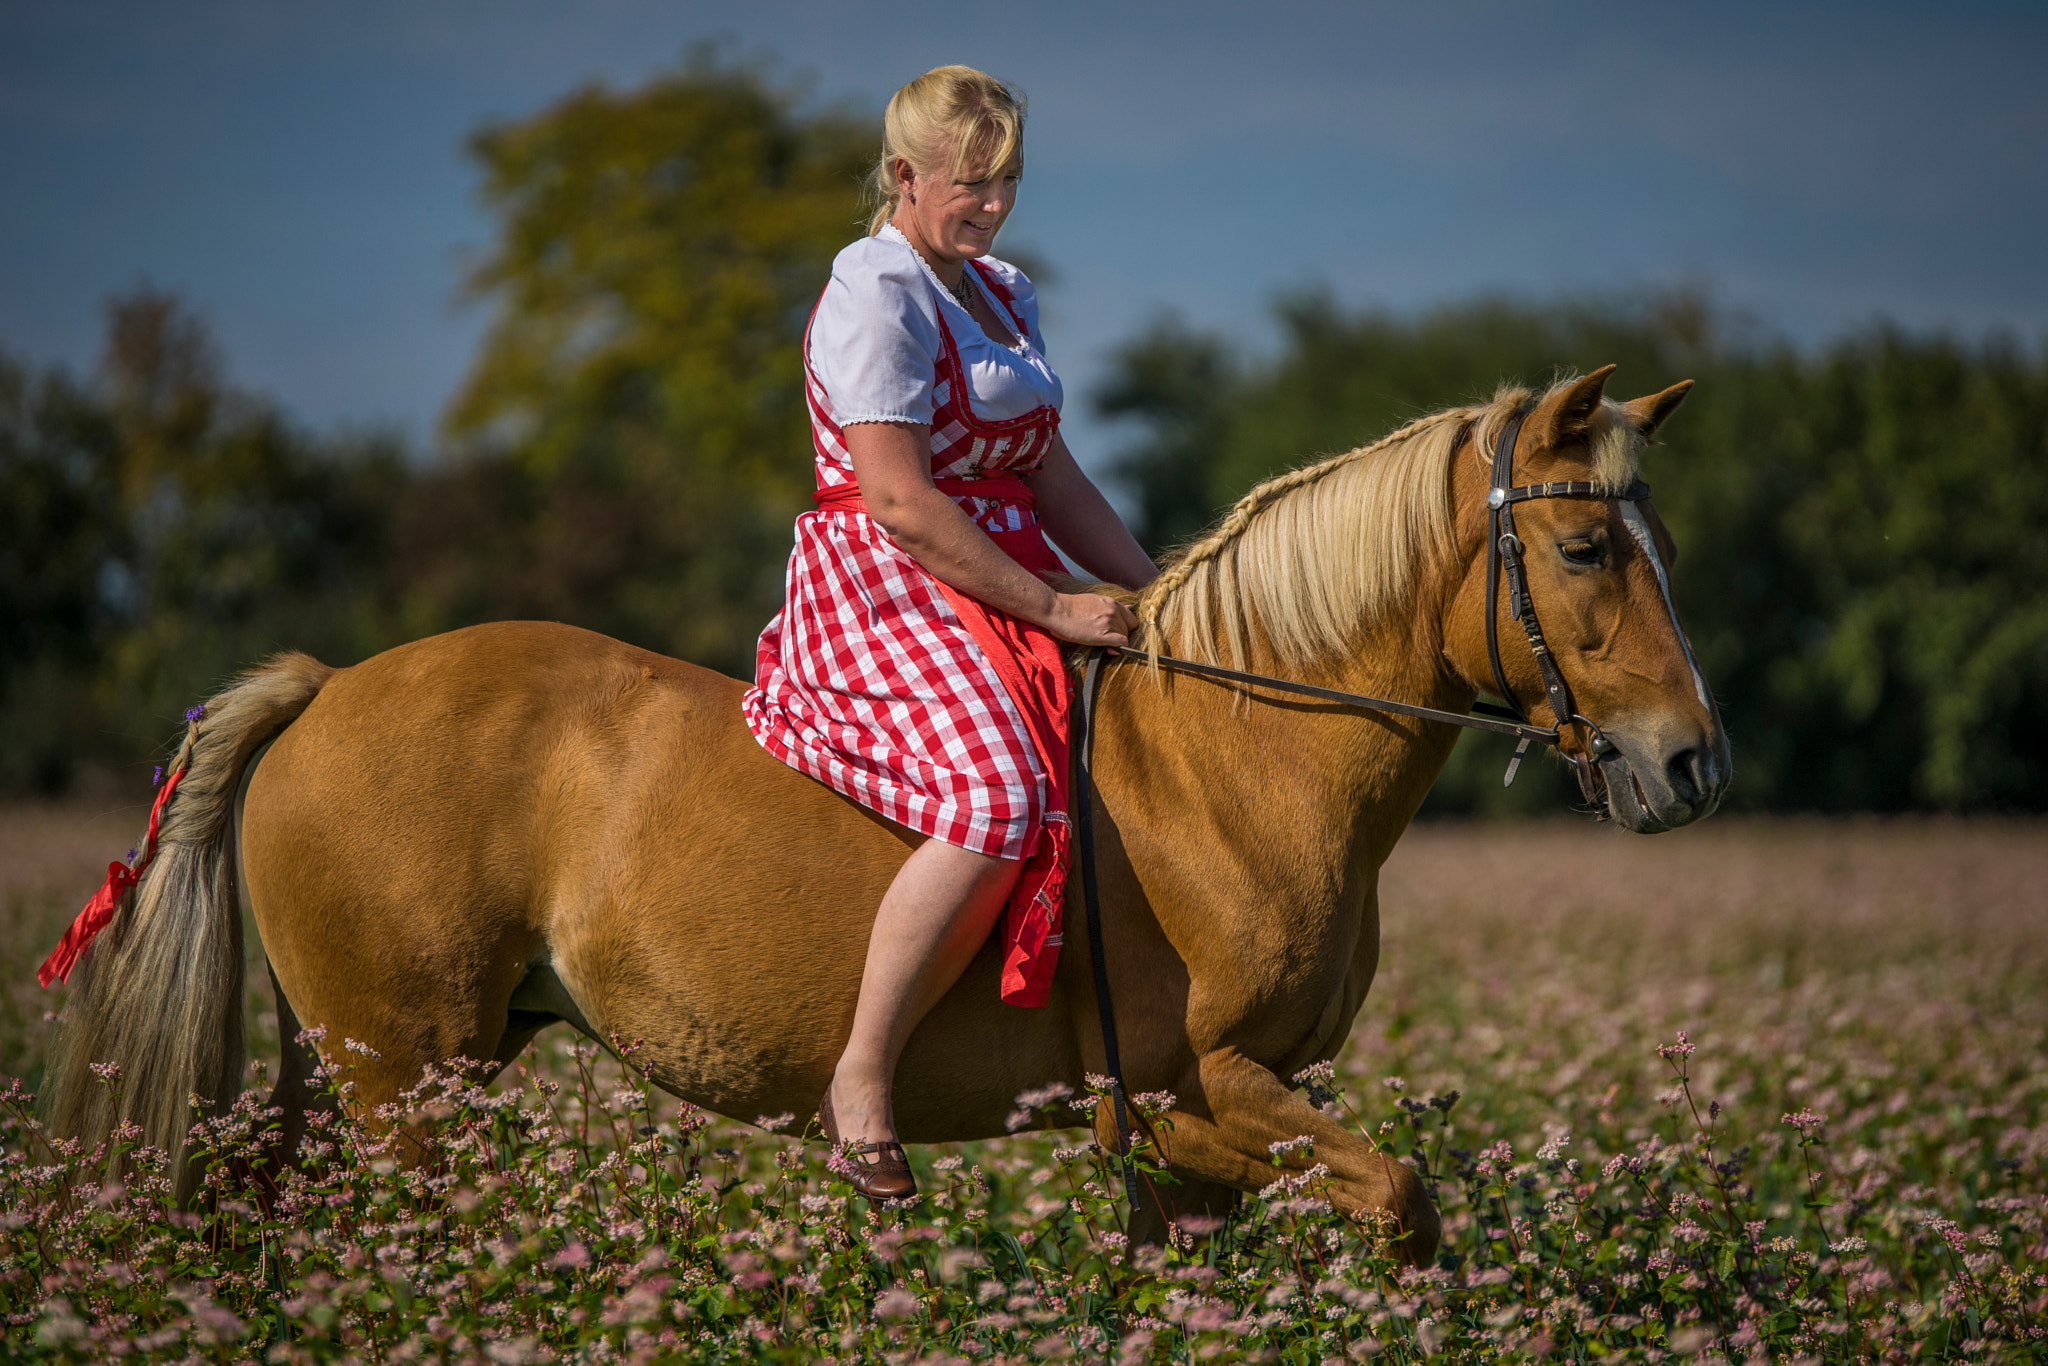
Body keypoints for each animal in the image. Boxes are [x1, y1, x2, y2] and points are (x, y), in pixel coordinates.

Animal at [39, 362, 1728, 1261]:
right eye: (1588, 549)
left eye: (1661, 538)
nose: (1692, 763)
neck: (1241, 765)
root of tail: (327, 686)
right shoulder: (1197, 1094)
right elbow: (1405, 1194)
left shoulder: (1193, 1148)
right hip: (410, 1090)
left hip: (354, 1082)